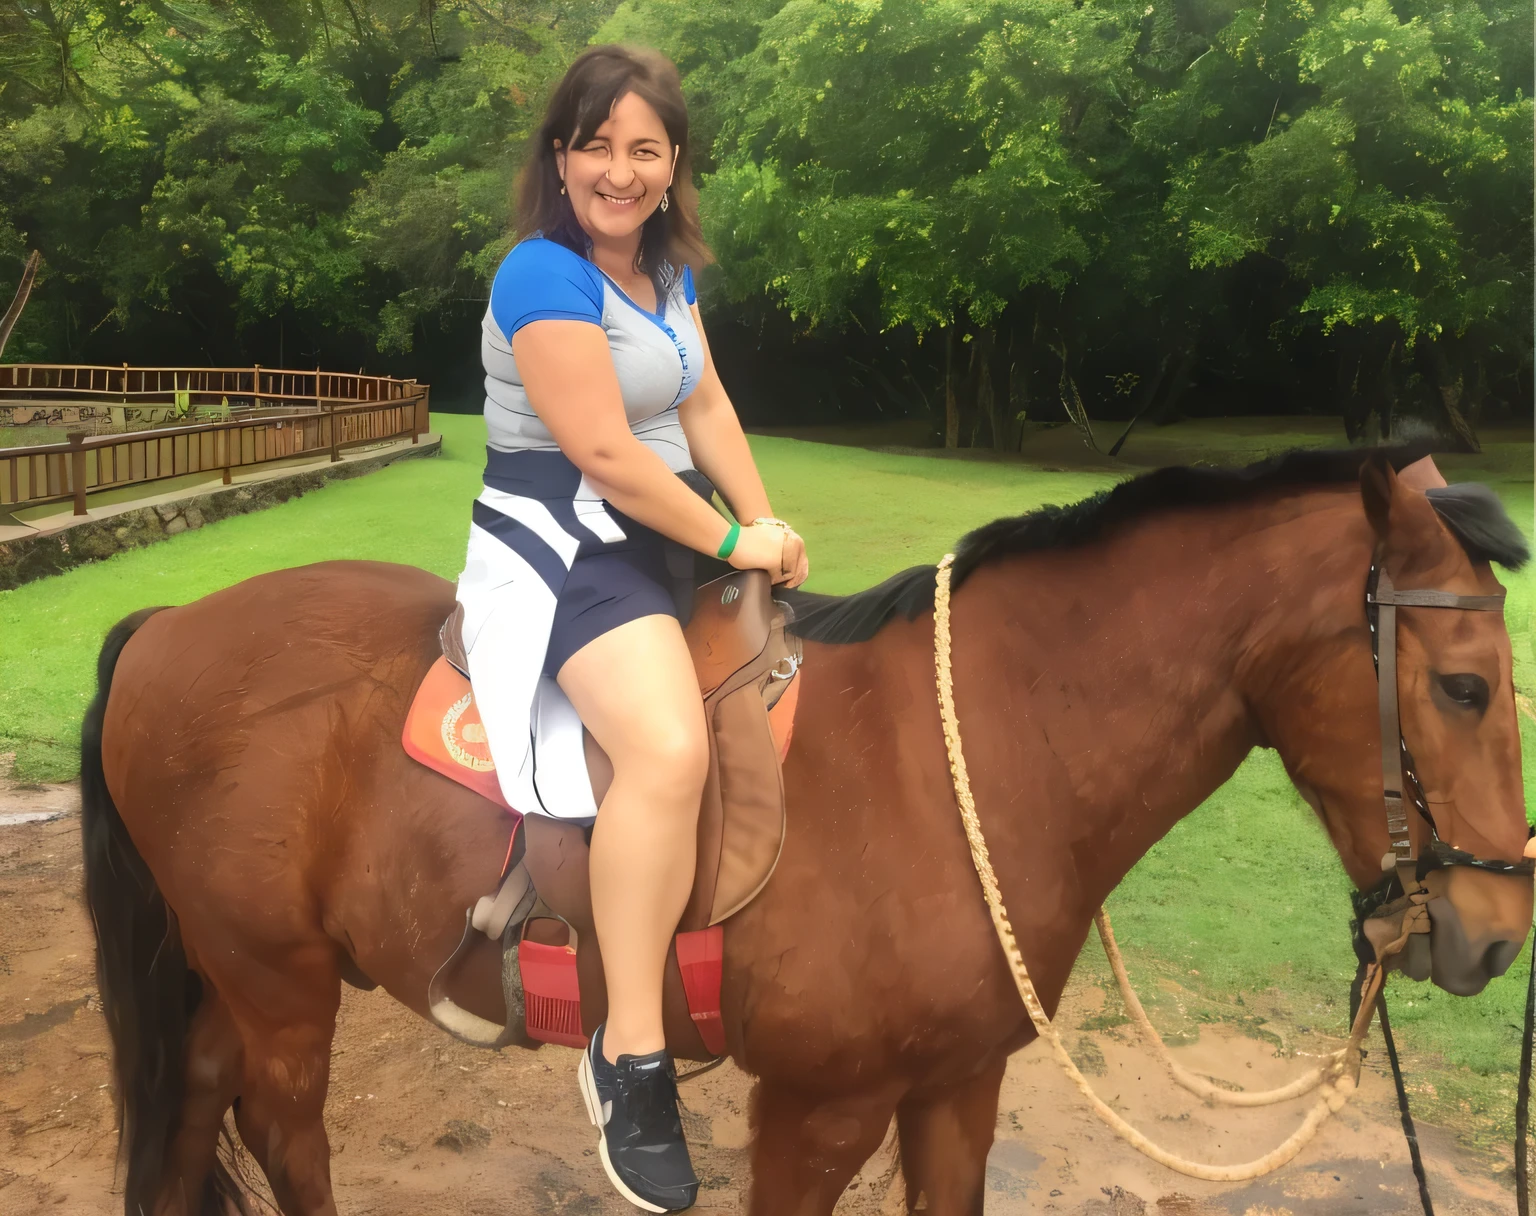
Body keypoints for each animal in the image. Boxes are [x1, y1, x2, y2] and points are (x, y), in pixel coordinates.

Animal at [84, 445, 1536, 1216]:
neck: (971, 752)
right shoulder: (818, 1108)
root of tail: (166, 623)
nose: (1497, 931)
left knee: (193, 1097)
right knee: (286, 1133)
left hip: (235, 976)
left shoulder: (956, 1085)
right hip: (279, 983)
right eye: (1466, 686)